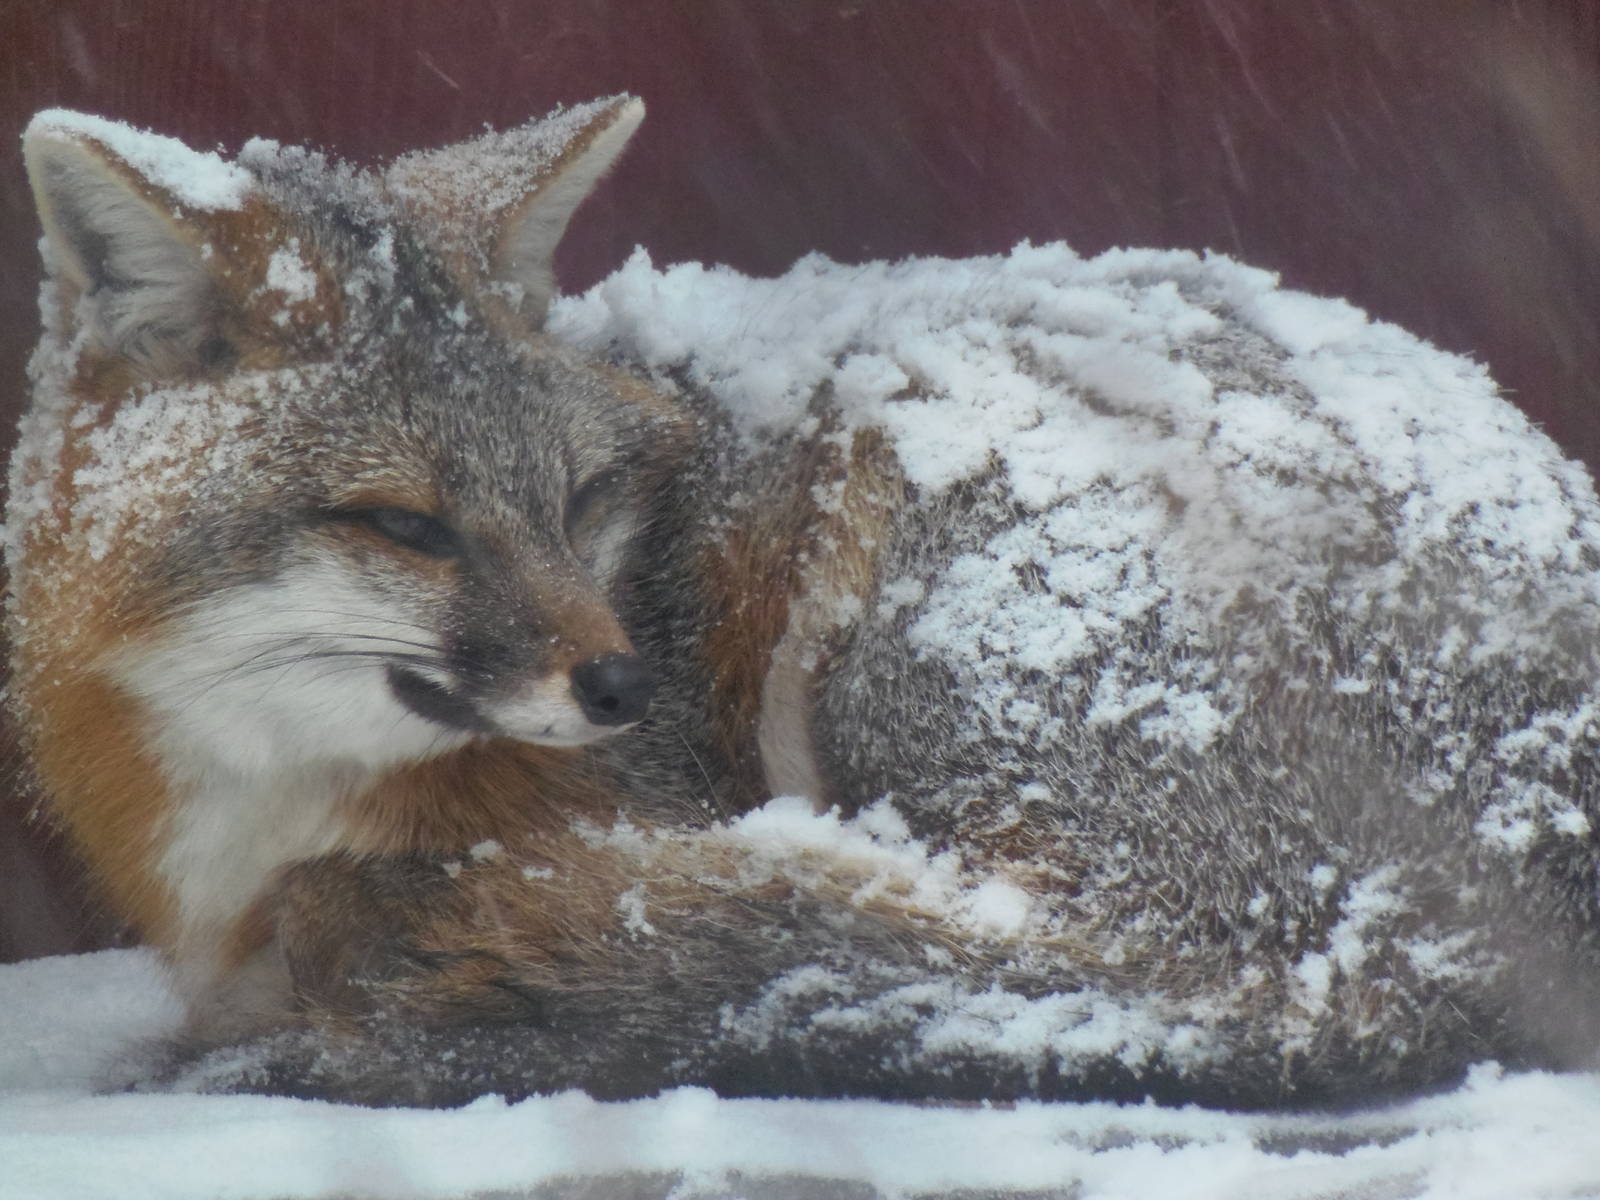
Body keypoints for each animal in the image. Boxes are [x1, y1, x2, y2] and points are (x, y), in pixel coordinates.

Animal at [11, 99, 1600, 1110]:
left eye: (580, 500)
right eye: (403, 524)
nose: (625, 687)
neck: (273, 790)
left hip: (906, 546)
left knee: (1110, 980)